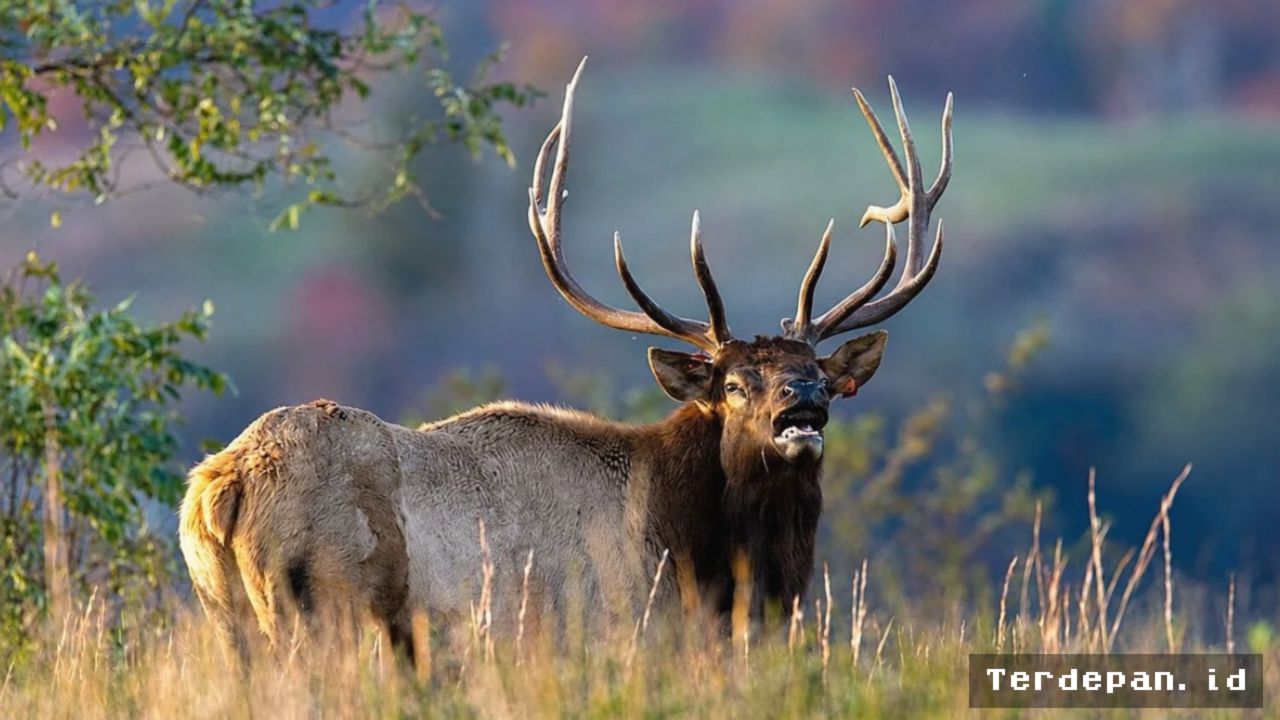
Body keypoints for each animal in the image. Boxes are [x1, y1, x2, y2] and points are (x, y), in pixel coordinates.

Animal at [178, 58, 953, 663]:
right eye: (734, 384)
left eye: (822, 375)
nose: (802, 401)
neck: (699, 555)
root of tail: (219, 485)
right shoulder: (604, 628)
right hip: (323, 603)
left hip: (228, 615)